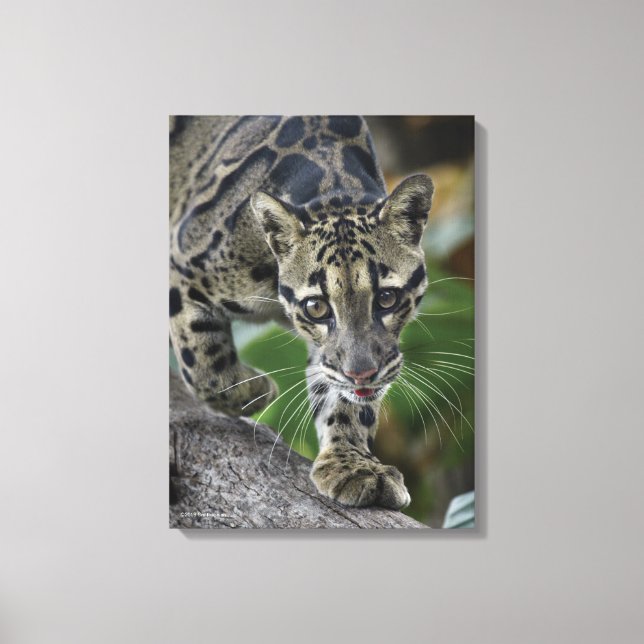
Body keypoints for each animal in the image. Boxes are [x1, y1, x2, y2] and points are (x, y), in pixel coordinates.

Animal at [170, 115, 433, 510]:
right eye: (316, 307)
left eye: (387, 298)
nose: (362, 373)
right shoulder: (181, 263)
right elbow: (204, 365)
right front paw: (256, 390)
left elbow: (344, 397)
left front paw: (353, 465)